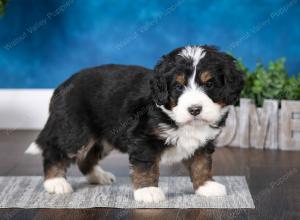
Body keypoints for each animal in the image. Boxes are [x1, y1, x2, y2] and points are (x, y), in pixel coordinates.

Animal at [25, 44, 244, 203]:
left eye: (210, 84)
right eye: (178, 86)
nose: (195, 109)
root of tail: (63, 85)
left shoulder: (203, 142)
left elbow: (201, 164)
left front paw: (206, 186)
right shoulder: (143, 139)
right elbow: (146, 166)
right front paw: (148, 191)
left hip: (103, 137)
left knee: (85, 158)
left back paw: (98, 177)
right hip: (76, 131)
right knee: (55, 151)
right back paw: (56, 182)